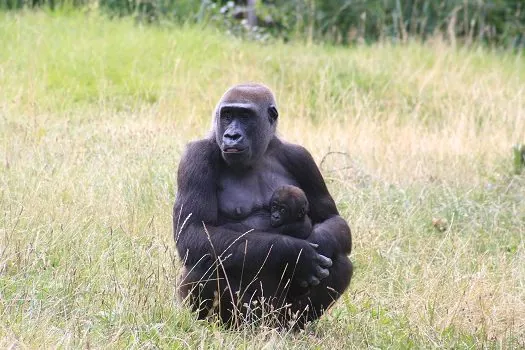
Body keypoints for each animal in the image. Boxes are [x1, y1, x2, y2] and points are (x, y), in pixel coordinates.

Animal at [173, 82, 352, 328]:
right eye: (227, 115)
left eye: (245, 116)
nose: (231, 135)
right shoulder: (196, 156)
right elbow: (194, 231)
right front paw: (295, 253)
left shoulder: (302, 157)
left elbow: (332, 219)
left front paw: (318, 241)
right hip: (251, 315)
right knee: (203, 262)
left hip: (279, 314)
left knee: (340, 259)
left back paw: (295, 327)